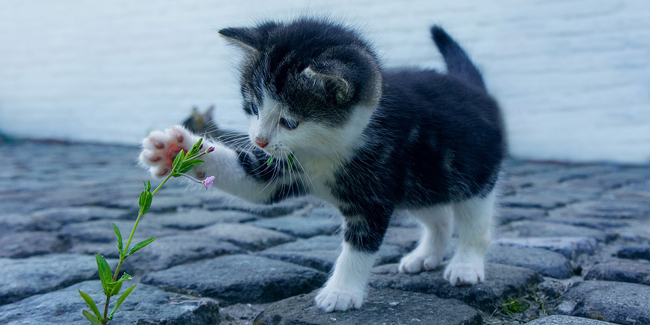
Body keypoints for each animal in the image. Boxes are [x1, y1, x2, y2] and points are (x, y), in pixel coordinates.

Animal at [139, 17, 504, 312]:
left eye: (290, 122)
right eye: (253, 107)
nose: (259, 140)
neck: (324, 149)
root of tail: (474, 88)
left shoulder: (375, 188)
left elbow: (359, 245)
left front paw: (341, 292)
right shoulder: (281, 168)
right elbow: (252, 182)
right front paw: (176, 149)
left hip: (472, 174)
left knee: (474, 222)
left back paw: (466, 265)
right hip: (421, 181)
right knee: (438, 215)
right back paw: (426, 255)